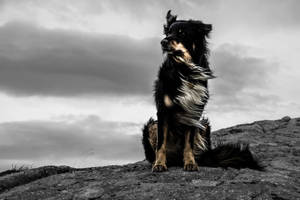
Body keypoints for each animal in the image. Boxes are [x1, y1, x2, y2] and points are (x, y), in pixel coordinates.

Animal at [142, 10, 262, 172]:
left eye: (181, 33)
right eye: (168, 32)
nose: (163, 42)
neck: (185, 69)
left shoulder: (194, 110)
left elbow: (189, 143)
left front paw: (190, 163)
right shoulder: (163, 110)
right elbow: (161, 144)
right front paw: (159, 164)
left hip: (203, 125)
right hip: (151, 125)